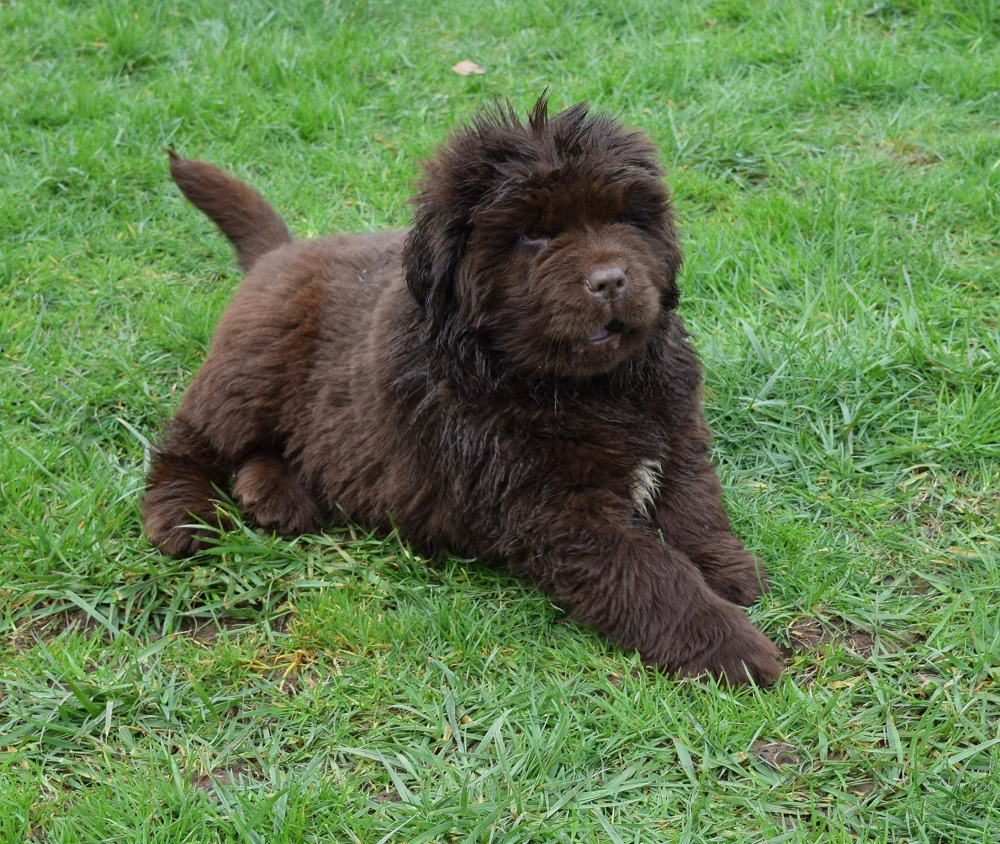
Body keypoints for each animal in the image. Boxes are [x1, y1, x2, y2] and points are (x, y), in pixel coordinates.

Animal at [143, 95, 780, 684]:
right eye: (533, 235)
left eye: (625, 218)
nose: (609, 280)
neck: (587, 386)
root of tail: (279, 252)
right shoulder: (558, 510)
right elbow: (650, 574)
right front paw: (733, 649)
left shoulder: (675, 432)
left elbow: (694, 507)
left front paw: (728, 570)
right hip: (251, 368)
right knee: (189, 441)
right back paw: (182, 516)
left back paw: (272, 494)